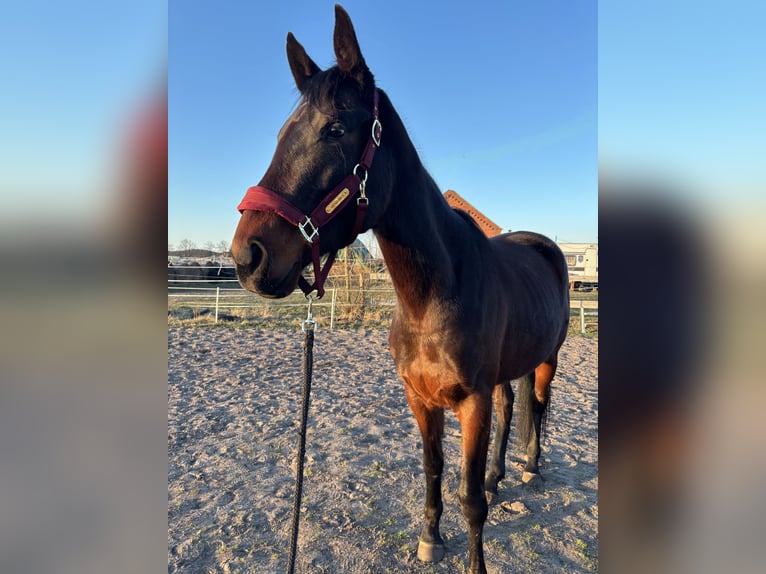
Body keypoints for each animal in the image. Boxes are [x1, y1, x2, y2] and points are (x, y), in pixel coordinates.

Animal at [231, 6, 569, 573]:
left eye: (335, 129)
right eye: (282, 132)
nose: (247, 255)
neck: (432, 299)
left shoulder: (470, 403)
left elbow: (469, 500)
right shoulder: (419, 398)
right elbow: (434, 469)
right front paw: (431, 537)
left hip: (548, 359)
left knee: (538, 408)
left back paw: (529, 468)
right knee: (511, 410)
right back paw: (500, 476)